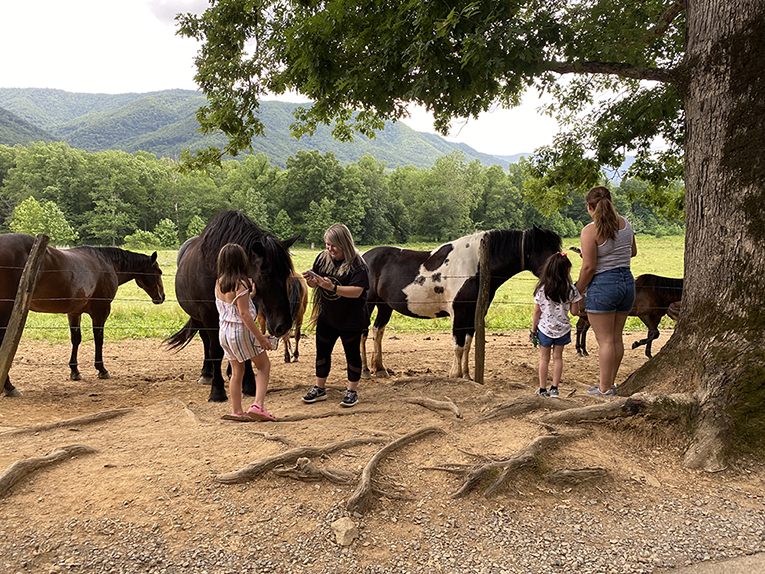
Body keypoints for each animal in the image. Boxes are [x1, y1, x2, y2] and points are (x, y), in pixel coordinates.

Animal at [1, 232, 164, 398]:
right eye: (159, 272)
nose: (161, 297)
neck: (106, 263)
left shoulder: (74, 312)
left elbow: (76, 339)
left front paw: (75, 371)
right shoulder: (101, 311)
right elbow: (99, 338)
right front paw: (102, 370)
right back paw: (9, 386)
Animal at [166, 209, 296, 402]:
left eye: (286, 273)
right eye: (264, 274)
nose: (284, 325)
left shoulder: (248, 308)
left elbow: (246, 344)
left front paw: (249, 384)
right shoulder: (208, 314)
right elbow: (215, 350)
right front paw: (217, 391)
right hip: (199, 317)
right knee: (207, 341)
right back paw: (207, 374)